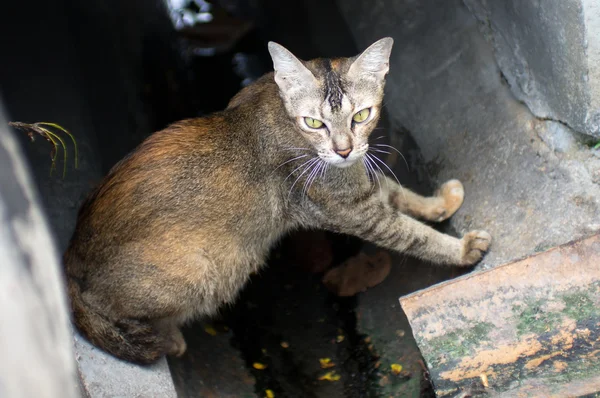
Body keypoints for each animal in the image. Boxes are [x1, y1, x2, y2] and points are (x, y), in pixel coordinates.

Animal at [63, 37, 490, 364]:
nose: (343, 149)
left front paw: (440, 202)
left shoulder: (357, 184)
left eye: (361, 116)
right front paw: (461, 249)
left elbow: (397, 192)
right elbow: (415, 235)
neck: (283, 110)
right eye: (314, 122)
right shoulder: (351, 209)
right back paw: (170, 339)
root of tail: (69, 259)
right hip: (205, 272)